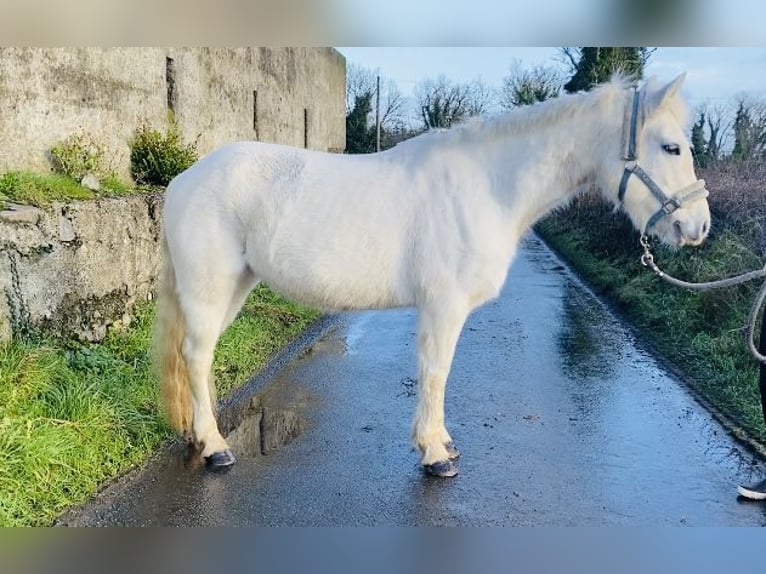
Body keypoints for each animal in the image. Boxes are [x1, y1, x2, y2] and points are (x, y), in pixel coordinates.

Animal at [154, 75, 712, 476]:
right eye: (671, 147)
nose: (698, 226)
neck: (489, 186)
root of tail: (184, 179)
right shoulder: (443, 306)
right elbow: (436, 373)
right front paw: (435, 454)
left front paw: (441, 443)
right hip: (210, 287)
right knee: (197, 356)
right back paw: (215, 449)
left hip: (234, 288)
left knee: (195, 359)